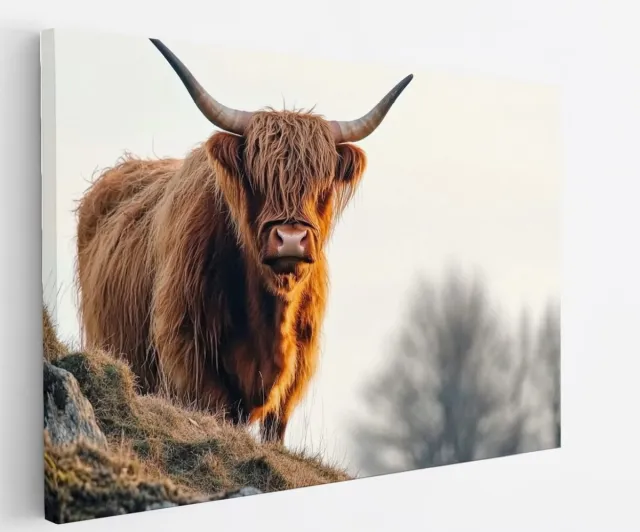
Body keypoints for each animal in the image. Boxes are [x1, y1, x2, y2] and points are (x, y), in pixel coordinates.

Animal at [75, 38, 412, 444]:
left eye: (322, 183)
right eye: (257, 176)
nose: (291, 240)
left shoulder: (295, 374)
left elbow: (275, 431)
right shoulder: (188, 356)